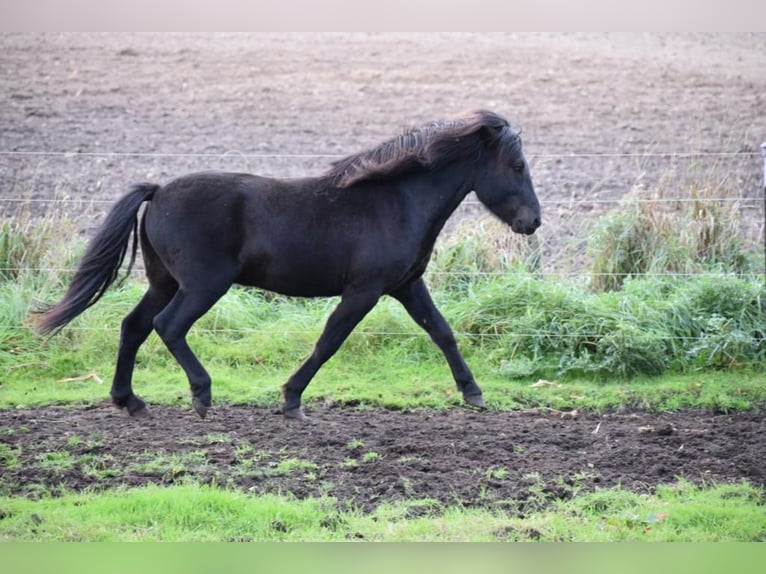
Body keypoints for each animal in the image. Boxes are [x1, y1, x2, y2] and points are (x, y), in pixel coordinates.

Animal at [34, 110, 540, 420]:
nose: (532, 222)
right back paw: (201, 395)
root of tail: (157, 191)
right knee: (168, 326)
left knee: (134, 325)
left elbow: (442, 332)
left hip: (164, 281)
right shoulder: (364, 291)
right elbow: (328, 341)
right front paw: (292, 399)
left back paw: (129, 401)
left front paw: (473, 393)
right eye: (517, 166)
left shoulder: (407, 286)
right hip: (202, 285)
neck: (395, 201)